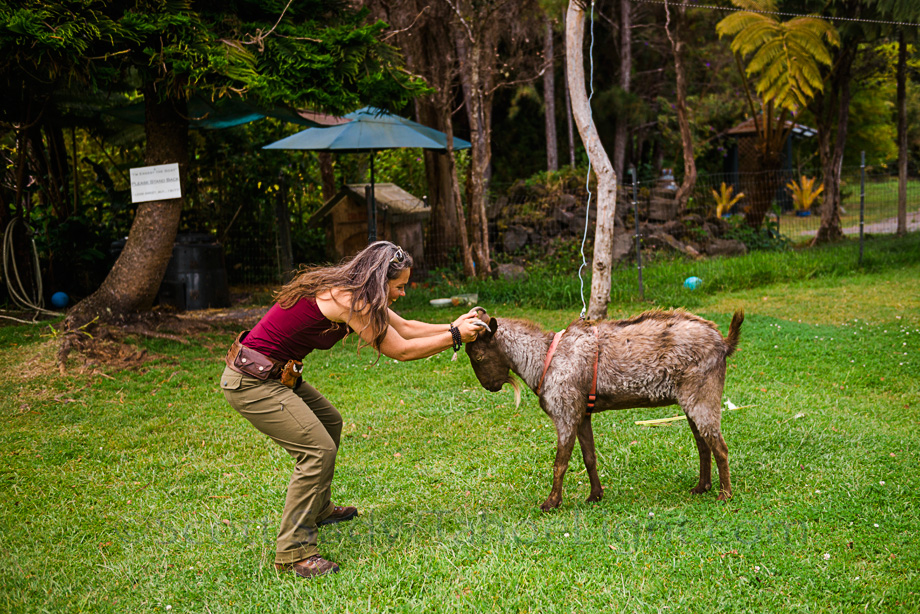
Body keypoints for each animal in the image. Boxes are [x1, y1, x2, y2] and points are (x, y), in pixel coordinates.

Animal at [465, 308, 744, 510]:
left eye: (478, 356)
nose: (490, 386)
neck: (544, 357)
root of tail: (723, 342)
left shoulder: (565, 414)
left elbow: (560, 463)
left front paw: (551, 503)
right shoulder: (582, 415)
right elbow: (589, 457)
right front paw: (595, 495)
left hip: (703, 398)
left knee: (720, 447)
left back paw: (725, 494)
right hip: (691, 402)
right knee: (703, 445)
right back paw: (702, 487)